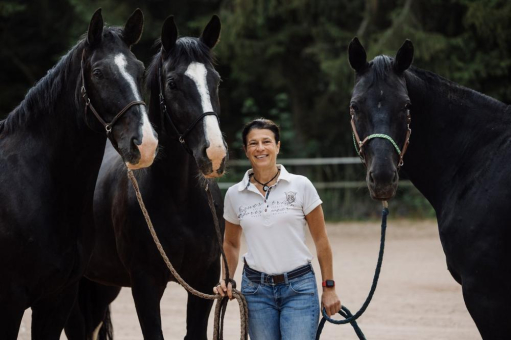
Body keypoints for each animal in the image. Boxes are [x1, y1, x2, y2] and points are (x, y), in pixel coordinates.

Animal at [67, 14, 227, 338]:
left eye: (216, 81)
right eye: (173, 83)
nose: (215, 153)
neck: (180, 200)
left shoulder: (204, 280)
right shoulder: (145, 285)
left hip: (102, 284)